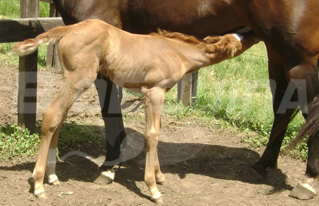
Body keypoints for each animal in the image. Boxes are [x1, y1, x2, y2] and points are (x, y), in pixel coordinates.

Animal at [10, 19, 260, 203]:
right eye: (239, 39)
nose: (254, 31)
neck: (177, 52)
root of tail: (67, 28)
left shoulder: (159, 94)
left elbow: (157, 131)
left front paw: (159, 176)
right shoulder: (154, 92)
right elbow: (152, 135)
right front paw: (153, 189)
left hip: (71, 80)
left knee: (59, 119)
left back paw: (52, 176)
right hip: (79, 79)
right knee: (51, 115)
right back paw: (39, 185)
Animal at [52, 0, 319, 200]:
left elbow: (110, 111)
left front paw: (109, 167)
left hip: (300, 58)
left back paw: (307, 181)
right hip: (276, 51)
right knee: (283, 107)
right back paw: (262, 165)